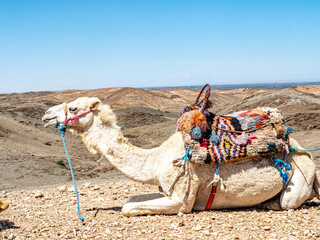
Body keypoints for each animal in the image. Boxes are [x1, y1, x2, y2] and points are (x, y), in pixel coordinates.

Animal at [42, 96, 320, 217]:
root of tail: (304, 152)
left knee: (288, 202)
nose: (46, 116)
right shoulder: (165, 188)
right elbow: (133, 198)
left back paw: (269, 204)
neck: (154, 160)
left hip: (300, 176)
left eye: (73, 107)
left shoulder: (181, 198)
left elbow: (127, 207)